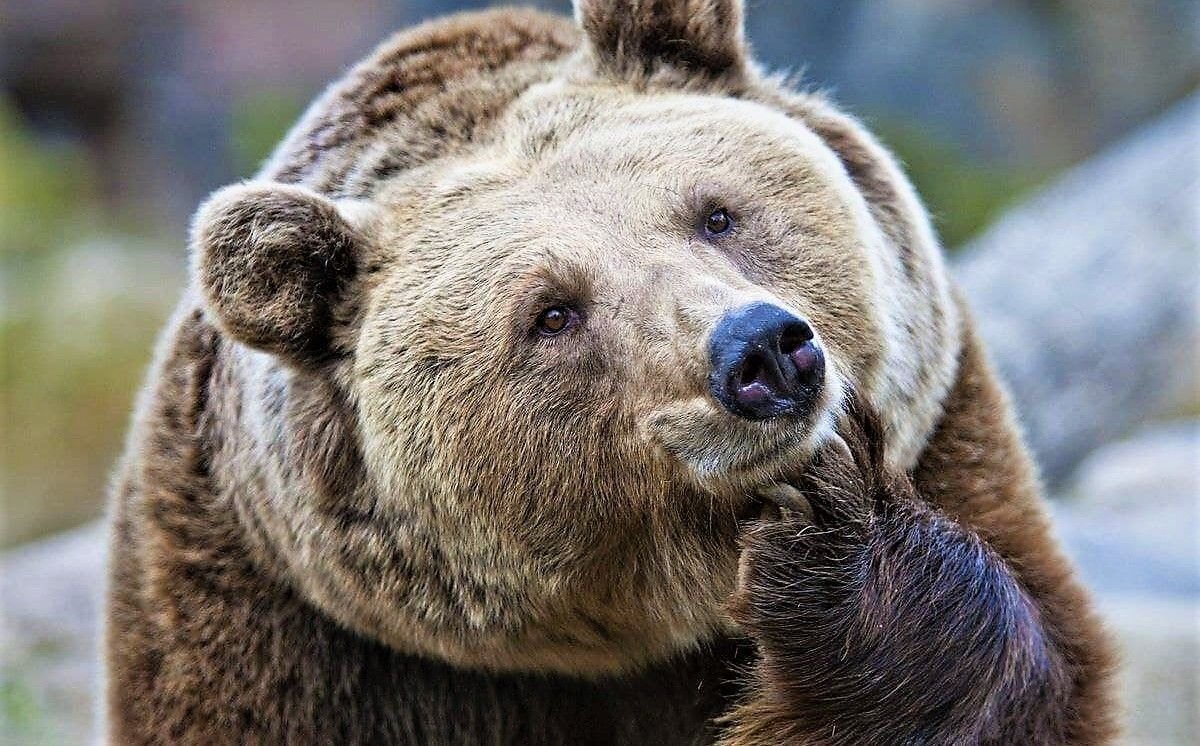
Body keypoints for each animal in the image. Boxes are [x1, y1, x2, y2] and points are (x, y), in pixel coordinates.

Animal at [104, 1, 1116, 743]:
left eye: (716, 213)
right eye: (552, 313)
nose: (762, 351)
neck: (654, 624)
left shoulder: (950, 439)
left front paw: (838, 536)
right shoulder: (304, 648)